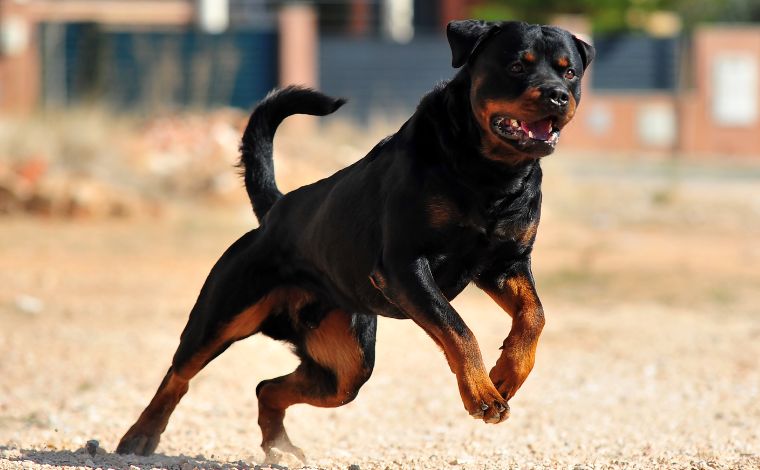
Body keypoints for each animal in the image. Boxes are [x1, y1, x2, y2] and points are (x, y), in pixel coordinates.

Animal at [117, 20, 592, 460]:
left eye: (569, 72)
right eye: (517, 66)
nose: (557, 95)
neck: (491, 173)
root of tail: (275, 210)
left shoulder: (506, 264)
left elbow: (534, 315)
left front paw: (508, 373)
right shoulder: (405, 266)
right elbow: (459, 329)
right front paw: (482, 393)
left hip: (346, 365)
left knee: (269, 387)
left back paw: (279, 446)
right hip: (224, 313)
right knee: (180, 374)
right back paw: (140, 434)